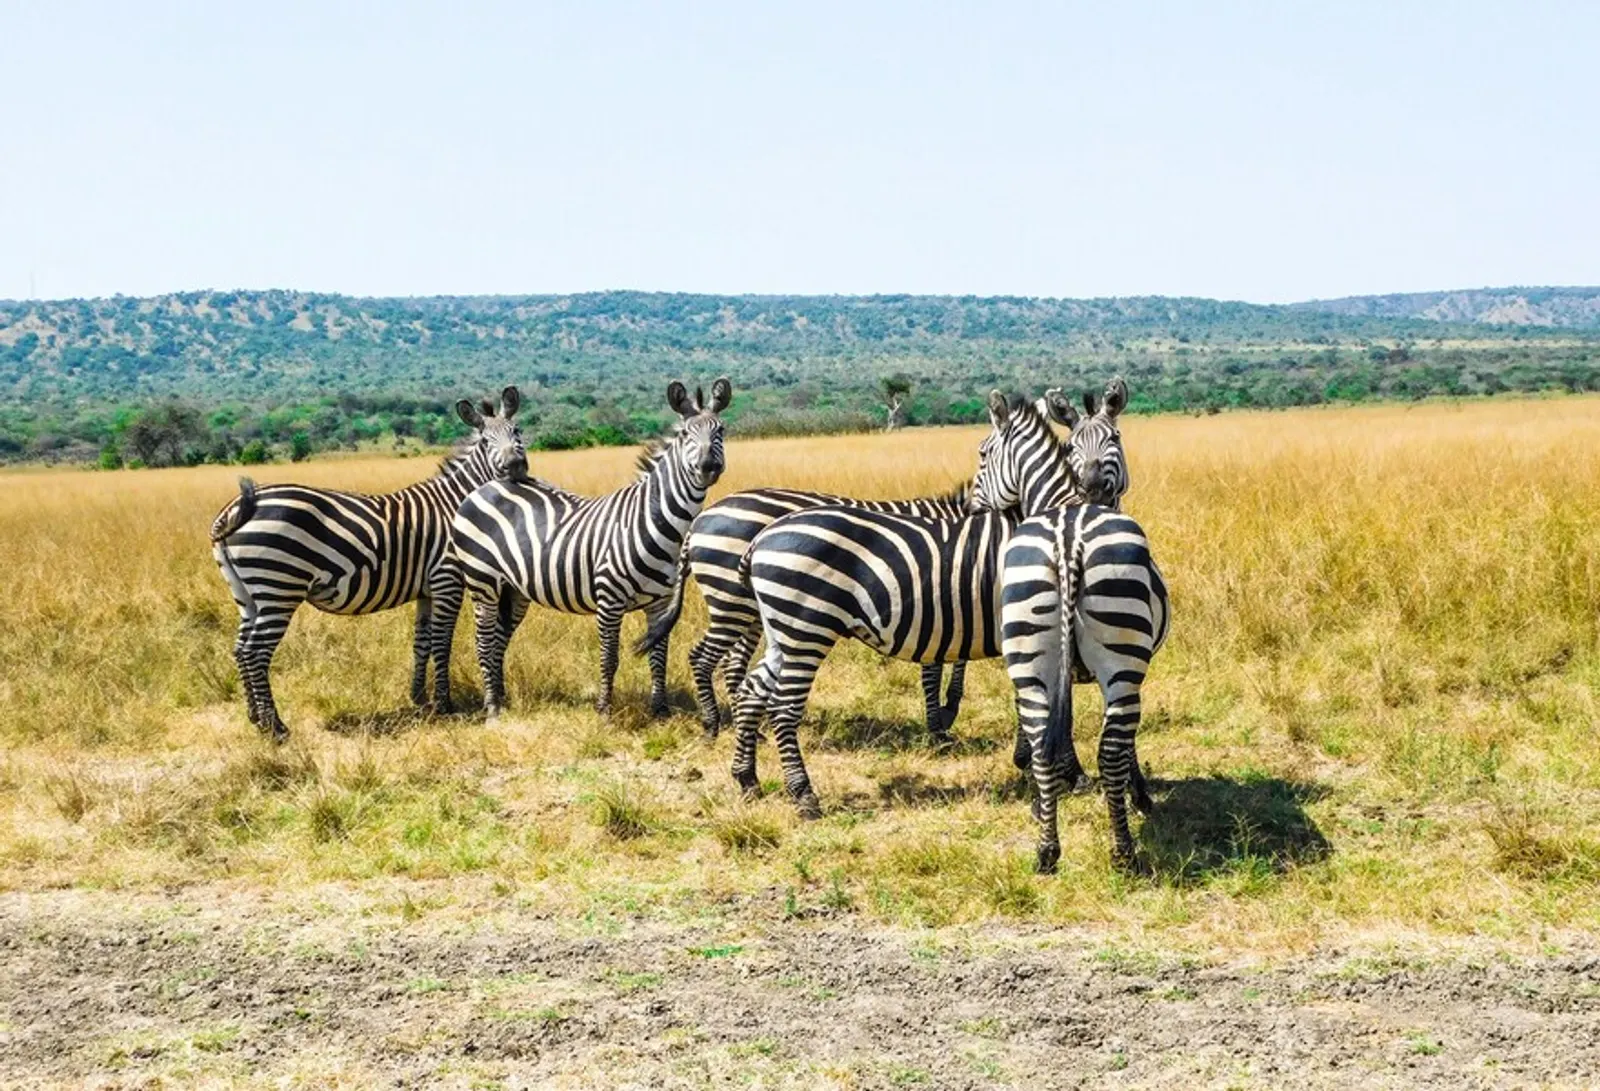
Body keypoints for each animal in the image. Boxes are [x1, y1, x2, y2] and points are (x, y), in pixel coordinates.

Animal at [209, 388, 528, 741]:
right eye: (485, 441)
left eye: (518, 431)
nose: (516, 466)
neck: (455, 505)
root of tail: (238, 506)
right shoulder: (447, 579)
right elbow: (442, 643)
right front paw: (445, 704)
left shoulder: (426, 590)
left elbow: (422, 643)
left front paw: (419, 698)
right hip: (279, 587)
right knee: (255, 652)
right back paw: (276, 728)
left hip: (248, 594)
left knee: (240, 648)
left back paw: (255, 719)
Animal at [450, 378, 732, 719]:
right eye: (685, 434)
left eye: (721, 430)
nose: (708, 467)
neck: (655, 522)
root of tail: (487, 485)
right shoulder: (609, 599)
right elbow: (609, 658)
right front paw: (604, 711)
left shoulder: (660, 603)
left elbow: (658, 657)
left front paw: (660, 710)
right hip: (483, 581)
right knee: (483, 639)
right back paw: (492, 707)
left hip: (514, 589)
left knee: (498, 640)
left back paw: (500, 698)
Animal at [636, 389, 1083, 745]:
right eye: (983, 454)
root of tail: (703, 519)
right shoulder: (942, 593)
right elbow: (937, 665)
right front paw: (939, 722)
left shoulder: (952, 596)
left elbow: (952, 658)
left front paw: (945, 713)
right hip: (735, 602)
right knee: (707, 658)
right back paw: (714, 725)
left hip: (752, 610)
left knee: (734, 664)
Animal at [726, 387, 1125, 817]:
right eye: (982, 453)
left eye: (1114, 440)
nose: (970, 509)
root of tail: (762, 537)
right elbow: (1047, 704)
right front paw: (1065, 770)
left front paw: (1035, 763)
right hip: (806, 630)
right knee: (783, 709)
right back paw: (803, 795)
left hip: (783, 632)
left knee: (751, 692)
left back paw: (746, 779)